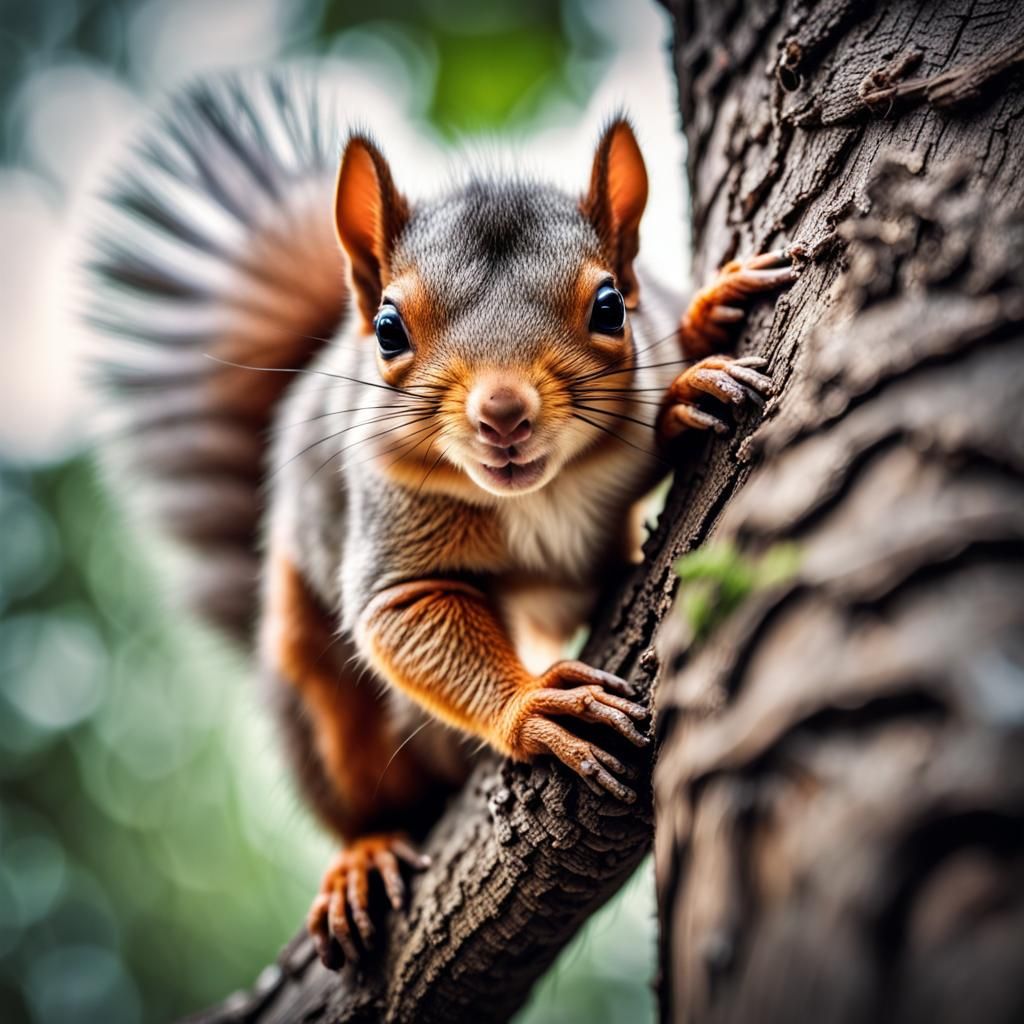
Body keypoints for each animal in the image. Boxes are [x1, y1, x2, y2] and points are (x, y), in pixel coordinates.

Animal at [85, 73, 797, 969]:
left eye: (611, 306)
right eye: (390, 329)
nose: (503, 414)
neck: (534, 496)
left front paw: (696, 354)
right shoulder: (393, 553)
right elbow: (408, 619)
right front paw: (534, 710)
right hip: (317, 695)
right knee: (365, 789)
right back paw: (364, 853)